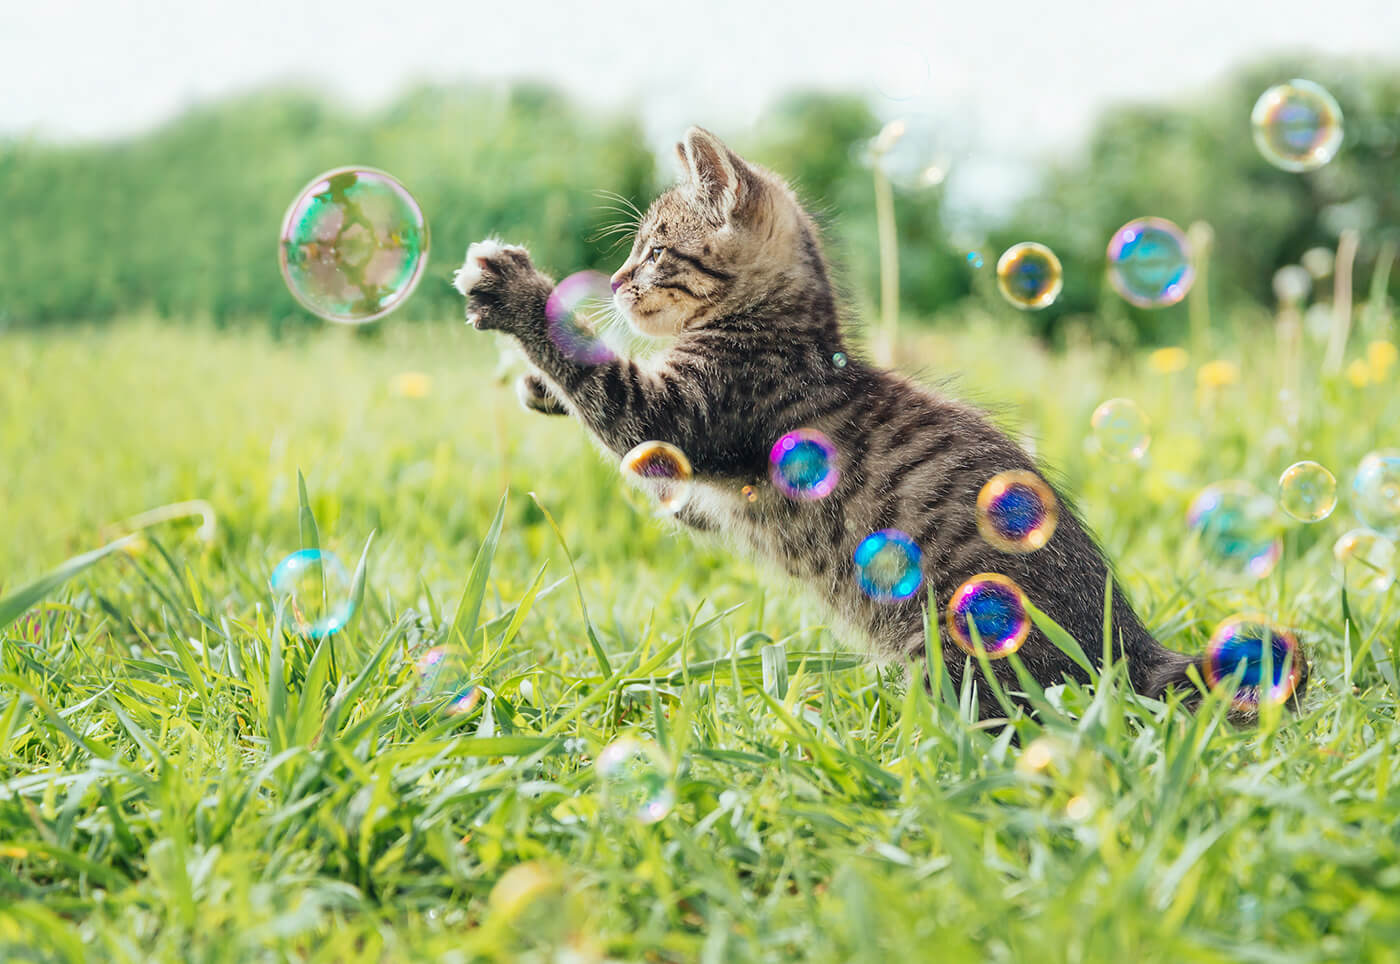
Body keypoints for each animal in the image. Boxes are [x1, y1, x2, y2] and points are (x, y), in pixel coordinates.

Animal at [453, 125, 1304, 713]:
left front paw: (521, 295)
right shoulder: (700, 496)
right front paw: (538, 385)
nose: (617, 283)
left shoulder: (684, 421)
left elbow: (612, 393)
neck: (784, 330)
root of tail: (1131, 640)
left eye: (657, 252)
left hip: (966, 636)